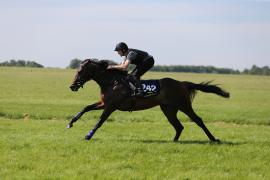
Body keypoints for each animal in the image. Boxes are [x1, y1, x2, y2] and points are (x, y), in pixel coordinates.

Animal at [68, 59, 229, 142]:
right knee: (178, 126)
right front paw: (71, 123)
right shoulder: (104, 103)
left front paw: (89, 135)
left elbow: (100, 121)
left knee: (198, 120)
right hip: (168, 109)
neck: (111, 82)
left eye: (80, 71)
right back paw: (173, 141)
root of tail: (182, 83)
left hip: (184, 105)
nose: (72, 86)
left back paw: (214, 139)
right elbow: (85, 108)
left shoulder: (111, 106)